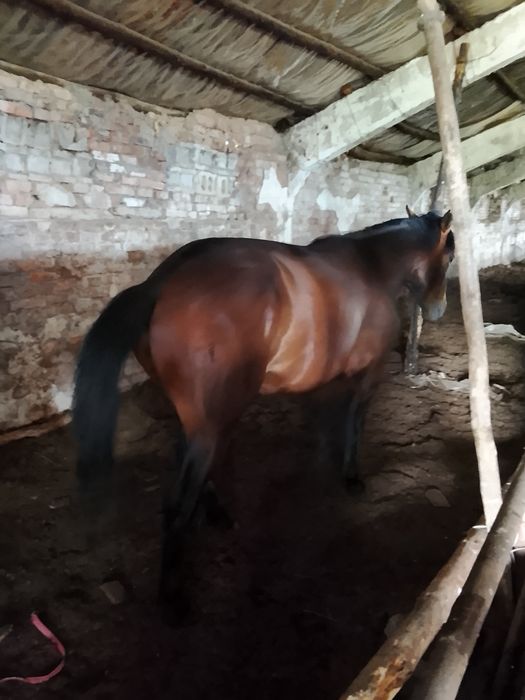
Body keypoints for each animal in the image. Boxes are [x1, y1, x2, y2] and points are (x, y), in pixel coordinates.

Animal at [72, 208, 455, 606]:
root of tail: (160, 282)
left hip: (197, 415)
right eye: (450, 256)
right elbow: (354, 421)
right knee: (179, 503)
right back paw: (173, 596)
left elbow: (326, 419)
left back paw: (218, 513)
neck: (373, 268)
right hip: (215, 419)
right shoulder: (370, 372)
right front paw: (351, 476)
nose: (438, 309)